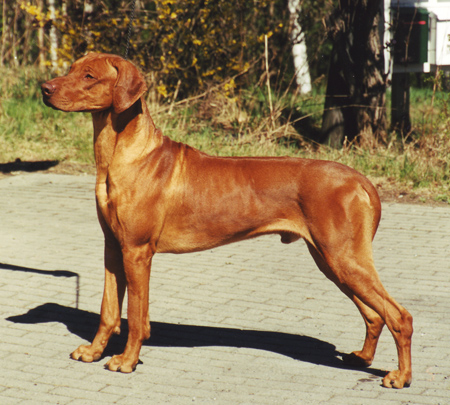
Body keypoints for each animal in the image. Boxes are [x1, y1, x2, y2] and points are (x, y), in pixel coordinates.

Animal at [41, 52, 412, 386]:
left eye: (89, 75)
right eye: (71, 68)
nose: (44, 88)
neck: (123, 155)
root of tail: (360, 179)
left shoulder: (136, 251)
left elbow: (136, 317)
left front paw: (127, 361)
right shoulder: (113, 248)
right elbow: (108, 311)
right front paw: (93, 352)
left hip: (343, 257)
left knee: (399, 315)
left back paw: (400, 376)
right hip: (332, 260)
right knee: (374, 313)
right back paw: (362, 358)